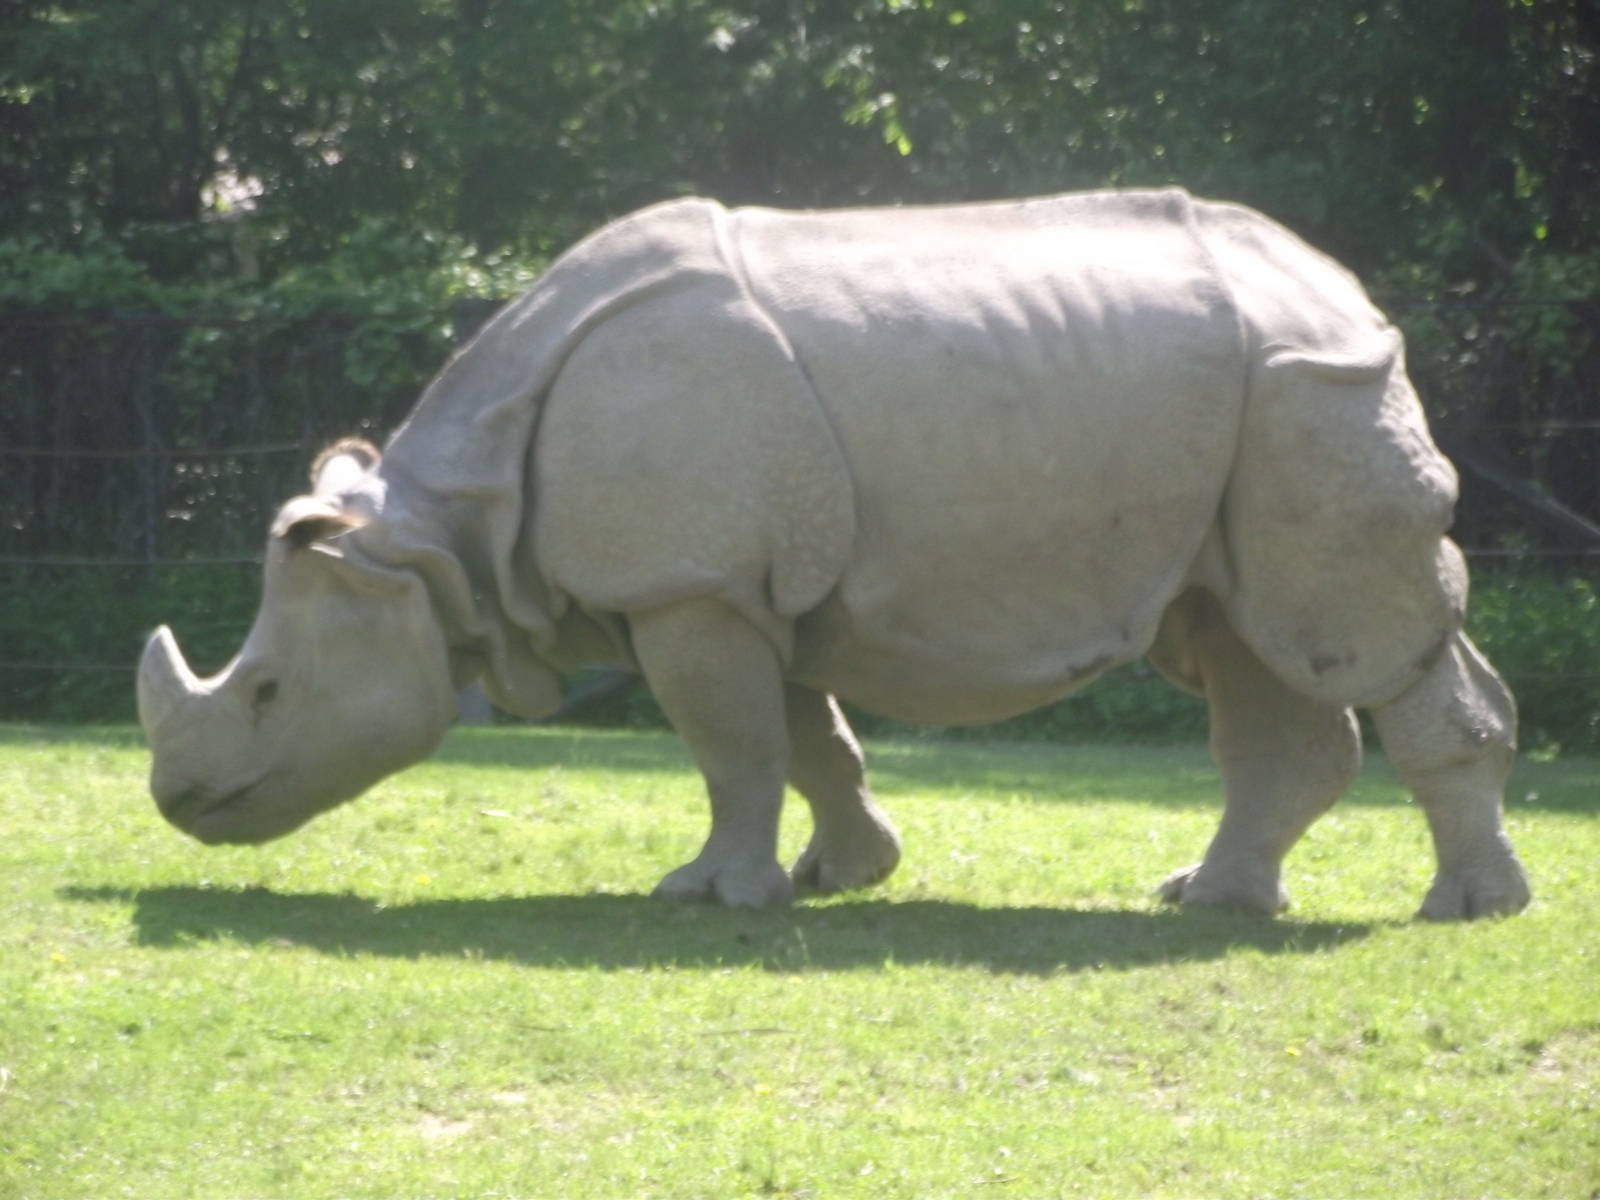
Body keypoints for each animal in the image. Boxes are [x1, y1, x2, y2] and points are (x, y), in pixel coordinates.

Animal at [138, 188, 1530, 919]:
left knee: (1345, 634)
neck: (439, 542)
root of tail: (1342, 285)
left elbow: (732, 746)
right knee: (1242, 642)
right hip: (1246, 420)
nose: (179, 805)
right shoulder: (740, 585)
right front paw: (835, 878)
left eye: (269, 694)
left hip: (1311, 393)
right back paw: (1207, 901)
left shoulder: (690, 584)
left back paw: (1460, 912)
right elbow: (805, 740)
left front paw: (706, 897)